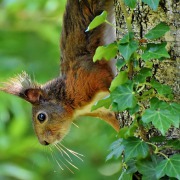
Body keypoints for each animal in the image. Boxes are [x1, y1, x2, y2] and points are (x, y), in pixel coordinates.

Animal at [0, 0, 119, 146]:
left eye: (41, 117)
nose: (44, 142)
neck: (66, 91)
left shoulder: (91, 75)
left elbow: (109, 82)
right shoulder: (101, 109)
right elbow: (115, 120)